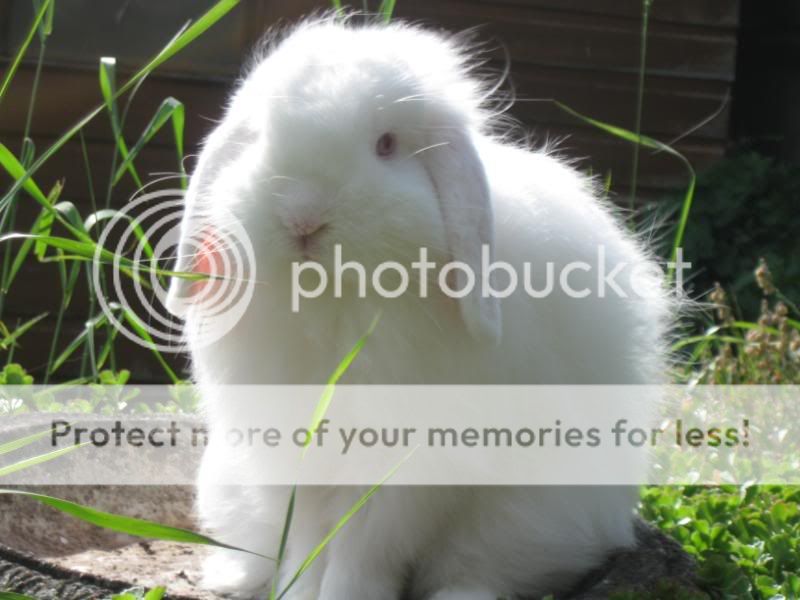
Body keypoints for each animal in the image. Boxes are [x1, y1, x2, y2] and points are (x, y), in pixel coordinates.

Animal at [167, 14, 676, 600]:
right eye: (260, 139)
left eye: (386, 145)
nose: (301, 217)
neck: (334, 300)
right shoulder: (292, 457)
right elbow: (308, 541)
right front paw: (296, 592)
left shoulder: (408, 471)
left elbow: (361, 548)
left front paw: (344, 595)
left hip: (529, 519)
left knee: (481, 571)